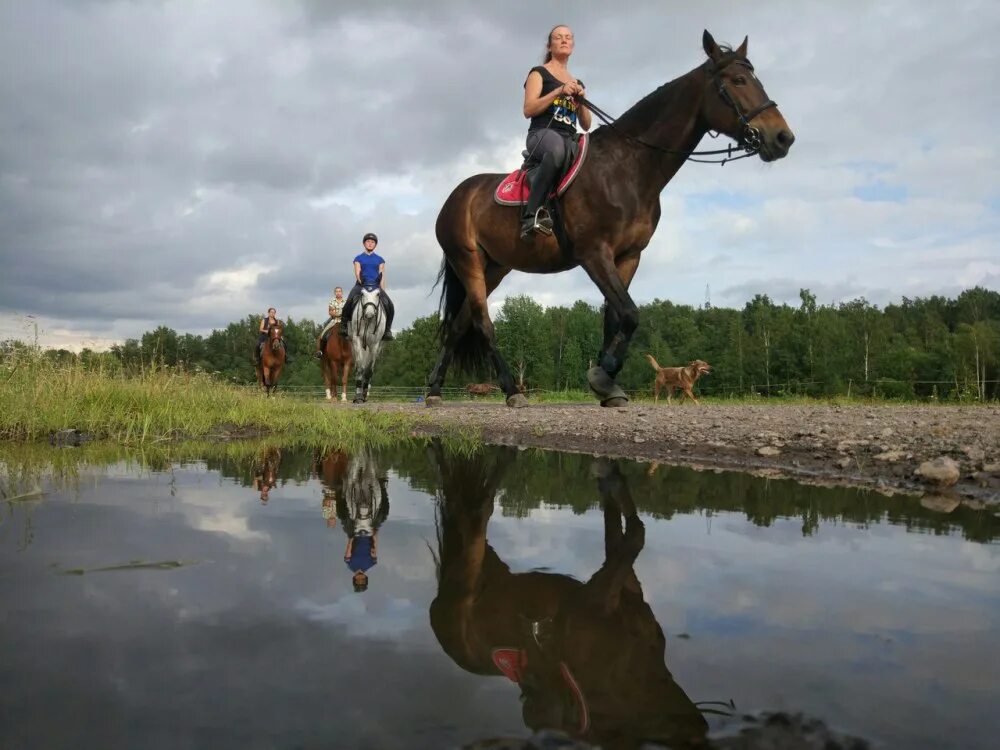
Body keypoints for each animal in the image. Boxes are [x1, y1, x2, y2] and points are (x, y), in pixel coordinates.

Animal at [426, 32, 792, 412]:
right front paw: (602, 376)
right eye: (737, 80)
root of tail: (457, 196)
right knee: (483, 324)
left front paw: (607, 384)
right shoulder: (594, 254)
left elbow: (615, 319)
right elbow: (630, 314)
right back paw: (512, 391)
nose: (783, 137)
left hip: (495, 266)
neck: (627, 166)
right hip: (467, 259)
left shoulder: (627, 256)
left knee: (460, 325)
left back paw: (435, 390)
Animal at [426, 444, 708, 748]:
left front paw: (608, 476)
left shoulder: (627, 594)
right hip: (470, 563)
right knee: (479, 511)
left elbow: (618, 526)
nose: (700, 728)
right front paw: (610, 477)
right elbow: (636, 533)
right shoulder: (595, 597)